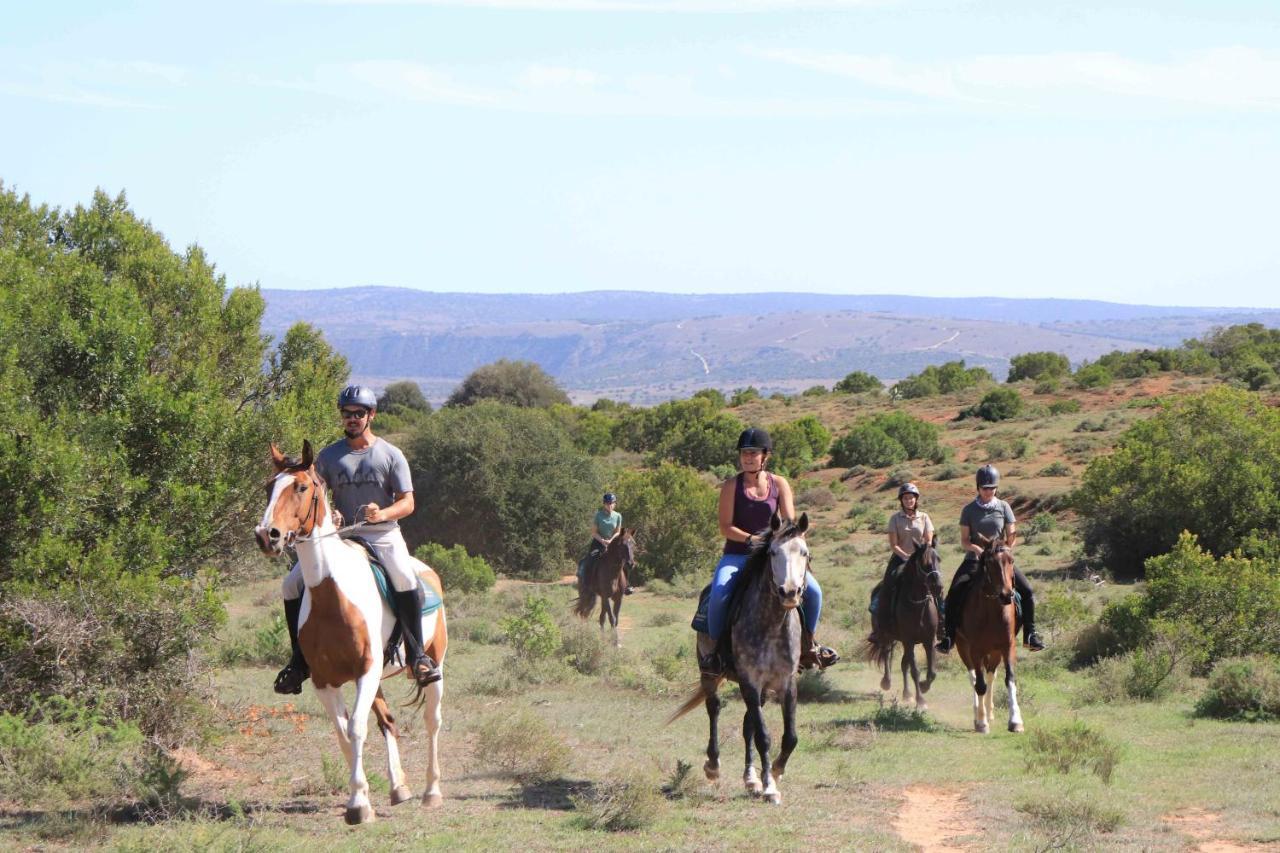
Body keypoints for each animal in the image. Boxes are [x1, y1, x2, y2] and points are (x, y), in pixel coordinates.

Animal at [252, 440, 448, 819]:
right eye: (269, 487)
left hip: (434, 665)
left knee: (432, 722)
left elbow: (356, 728)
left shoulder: (365, 672)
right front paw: (360, 796)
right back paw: (399, 787)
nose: (267, 536)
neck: (334, 598)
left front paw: (358, 806)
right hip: (377, 680)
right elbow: (344, 732)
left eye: (301, 487)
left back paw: (431, 791)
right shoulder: (325, 681)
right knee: (387, 721)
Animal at [670, 512, 808, 804]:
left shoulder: (786, 682)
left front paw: (773, 773)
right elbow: (764, 736)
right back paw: (713, 765)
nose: (789, 592)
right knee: (714, 708)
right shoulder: (750, 681)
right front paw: (769, 787)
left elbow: (789, 736)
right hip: (709, 672)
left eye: (804, 553)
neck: (771, 624)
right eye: (773, 552)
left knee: (747, 725)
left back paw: (750, 778)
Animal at [860, 537, 942, 712]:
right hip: (887, 636)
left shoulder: (929, 640)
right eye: (924, 563)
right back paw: (886, 682)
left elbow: (931, 672)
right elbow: (915, 670)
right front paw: (921, 700)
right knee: (887, 654)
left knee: (903, 664)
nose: (938, 587)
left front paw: (923, 687)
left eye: (938, 559)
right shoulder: (908, 640)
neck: (918, 605)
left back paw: (907, 694)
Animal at [957, 532, 1024, 732]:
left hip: (994, 652)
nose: (1006, 595)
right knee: (973, 677)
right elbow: (979, 685)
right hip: (963, 648)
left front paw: (1015, 721)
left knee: (991, 675)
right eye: (990, 562)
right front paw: (981, 722)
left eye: (1011, 560)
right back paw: (978, 714)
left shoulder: (1008, 646)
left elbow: (1009, 679)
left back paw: (990, 711)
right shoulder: (975, 650)